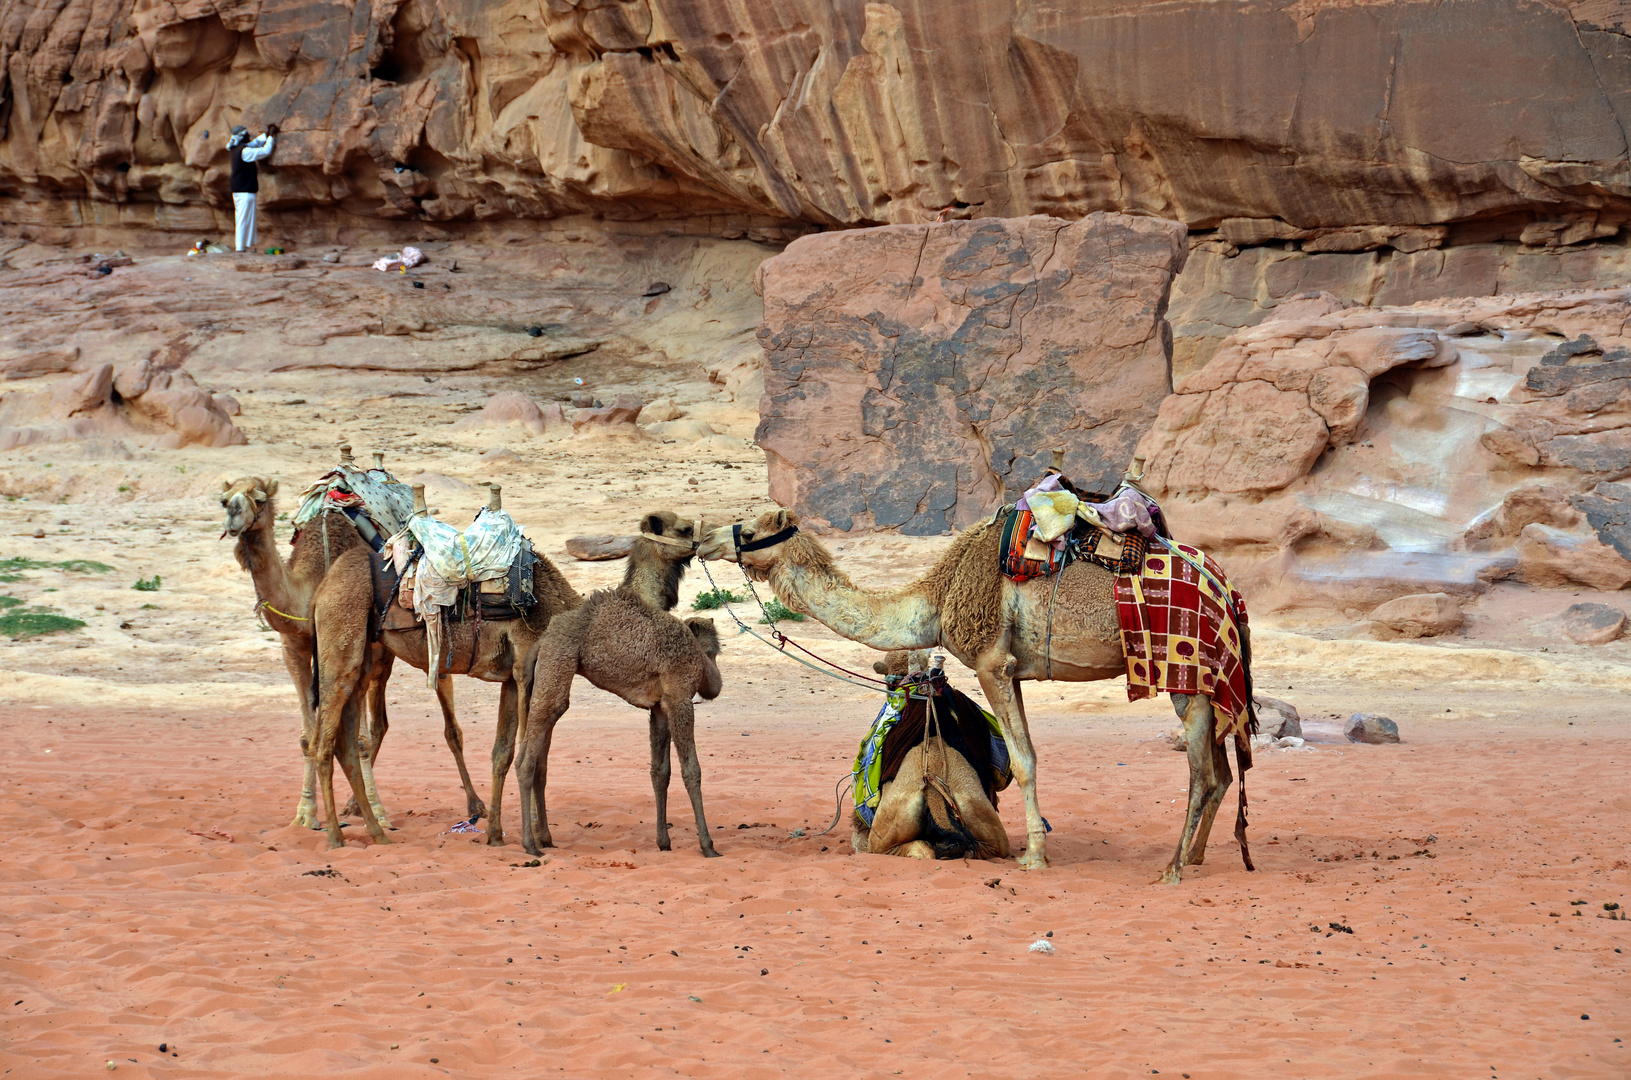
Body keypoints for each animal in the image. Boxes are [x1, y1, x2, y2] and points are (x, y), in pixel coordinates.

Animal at [220, 479, 479, 832]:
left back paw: (473, 804)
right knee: (381, 722)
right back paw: (353, 805)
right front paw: (305, 814)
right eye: (222, 500)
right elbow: (308, 737)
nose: (233, 515)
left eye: (259, 499)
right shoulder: (294, 647)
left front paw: (378, 813)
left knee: (447, 725)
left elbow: (359, 741)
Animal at [515, 541, 727, 861]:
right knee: (528, 758)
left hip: (544, 676)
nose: (715, 682)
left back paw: (544, 839)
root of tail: (541, 642)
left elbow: (660, 772)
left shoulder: (659, 708)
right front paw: (708, 845)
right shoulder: (679, 698)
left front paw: (663, 842)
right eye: (712, 651)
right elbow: (692, 770)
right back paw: (530, 845)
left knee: (532, 754)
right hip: (558, 662)